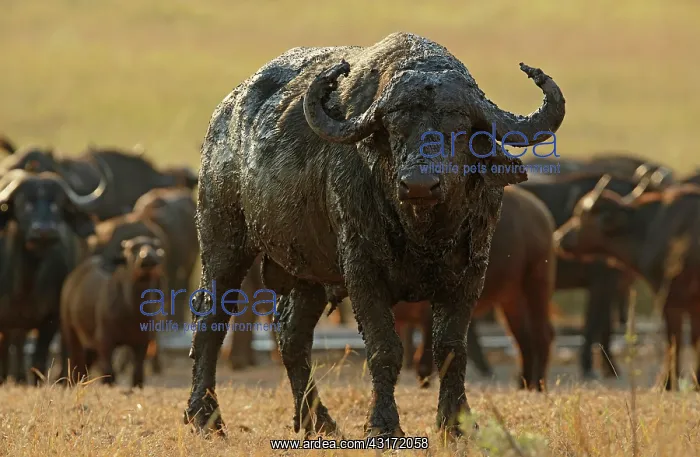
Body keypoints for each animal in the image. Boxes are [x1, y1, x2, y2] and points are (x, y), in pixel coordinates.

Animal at [184, 32, 565, 438]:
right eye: (396, 129)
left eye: (458, 131)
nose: (419, 184)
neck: (423, 234)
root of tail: (226, 114)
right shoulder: (362, 270)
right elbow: (385, 348)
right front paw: (383, 425)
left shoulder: (470, 273)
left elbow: (450, 349)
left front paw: (456, 424)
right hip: (223, 239)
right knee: (210, 321)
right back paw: (205, 417)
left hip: (309, 272)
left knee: (291, 334)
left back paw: (317, 420)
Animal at [554, 177, 700, 390]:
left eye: (582, 216)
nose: (559, 237)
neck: (649, 228)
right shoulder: (692, 304)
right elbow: (694, 341)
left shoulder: (669, 297)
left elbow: (674, 340)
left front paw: (665, 383)